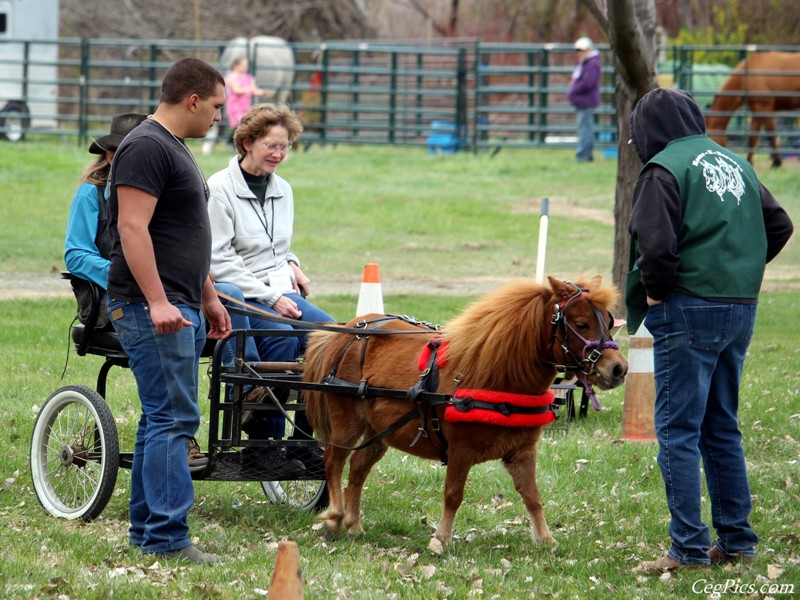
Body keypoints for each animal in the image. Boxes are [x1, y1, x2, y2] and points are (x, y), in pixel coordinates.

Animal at [304, 276, 628, 552]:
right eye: (582, 323)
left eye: (609, 321)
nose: (618, 368)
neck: (497, 374)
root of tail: (348, 330)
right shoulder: (460, 450)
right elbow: (453, 495)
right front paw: (441, 540)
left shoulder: (522, 451)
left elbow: (532, 496)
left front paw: (545, 538)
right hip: (346, 422)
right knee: (333, 462)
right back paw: (335, 516)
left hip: (379, 431)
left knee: (358, 470)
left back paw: (354, 524)